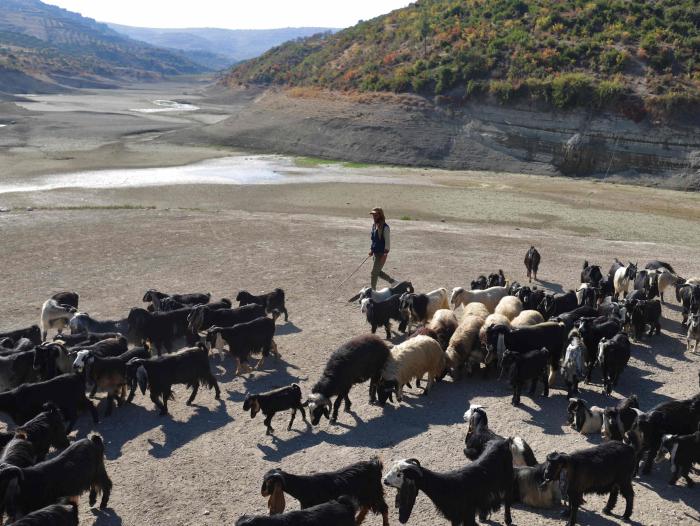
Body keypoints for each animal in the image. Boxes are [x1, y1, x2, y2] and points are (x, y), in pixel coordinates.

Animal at [382, 442, 516, 526]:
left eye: (399, 475)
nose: (384, 480)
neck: (445, 486)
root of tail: (502, 442)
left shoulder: (467, 513)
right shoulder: (455, 516)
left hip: (508, 480)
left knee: (507, 500)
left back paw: (508, 520)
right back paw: (483, 516)